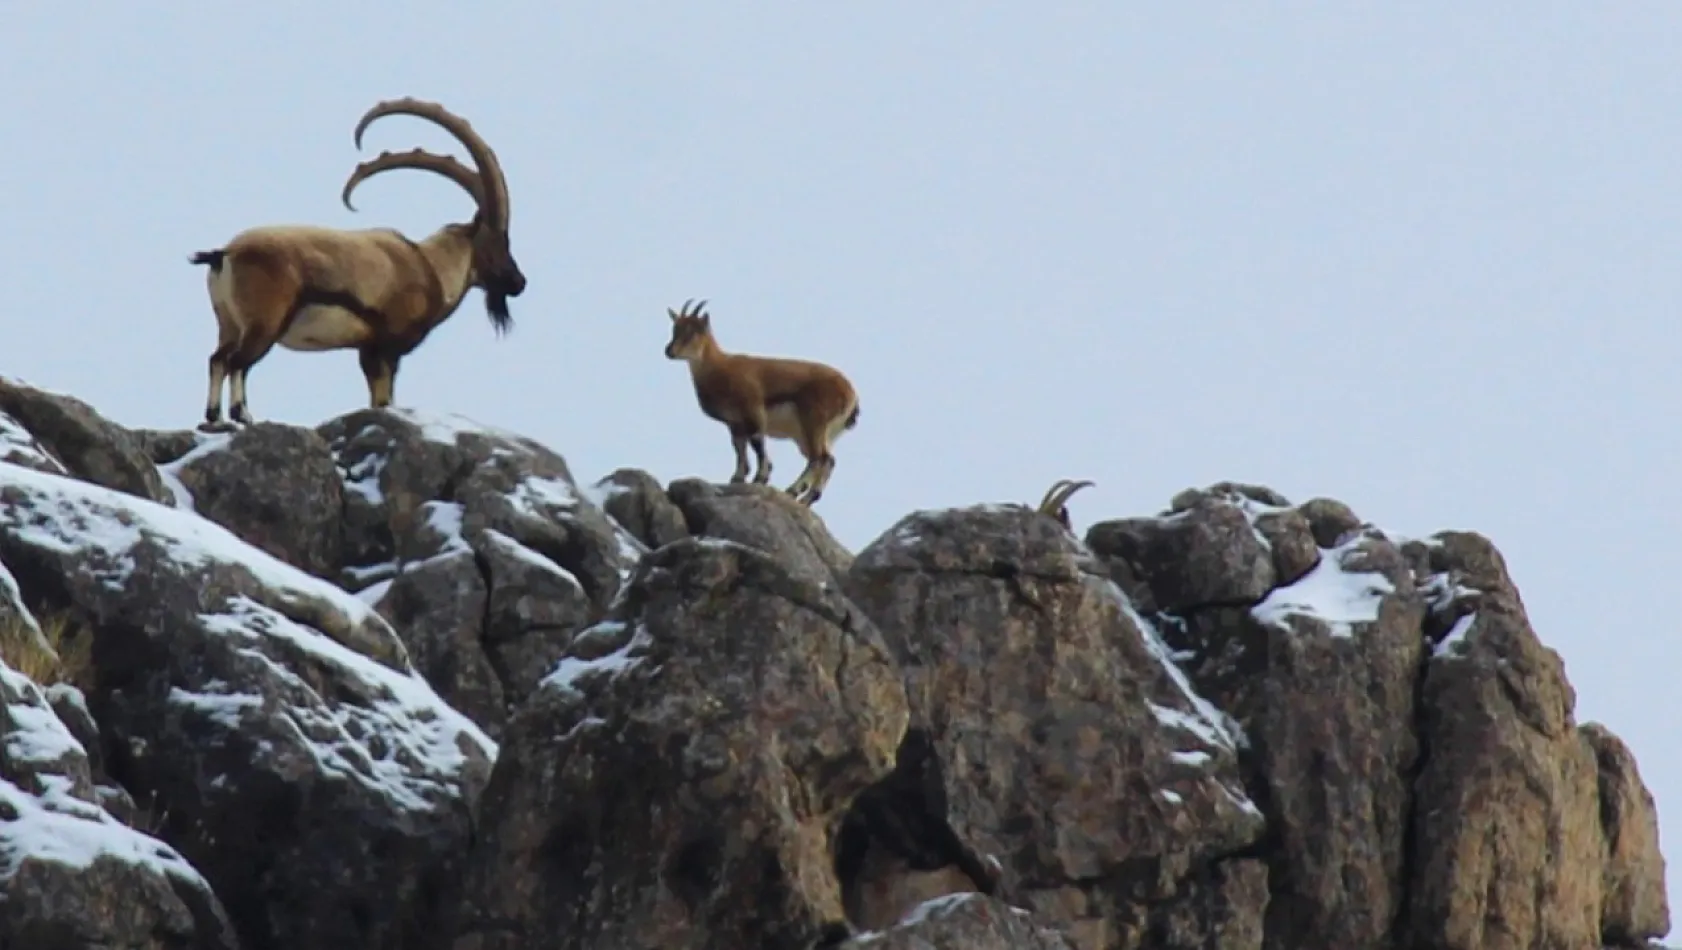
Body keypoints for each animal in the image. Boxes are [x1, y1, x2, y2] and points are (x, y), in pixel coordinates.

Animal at [185, 94, 528, 427]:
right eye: (501, 241)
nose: (518, 282)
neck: (431, 266)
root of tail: (224, 254)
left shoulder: (367, 348)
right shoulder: (386, 347)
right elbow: (383, 397)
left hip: (228, 323)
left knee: (217, 359)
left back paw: (213, 417)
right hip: (264, 322)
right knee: (238, 362)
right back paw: (242, 414)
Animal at [662, 297, 861, 507]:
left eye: (693, 331)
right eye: (675, 328)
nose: (669, 351)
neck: (718, 369)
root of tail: (851, 394)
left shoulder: (753, 410)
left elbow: (757, 443)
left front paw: (761, 477)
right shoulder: (735, 423)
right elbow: (739, 447)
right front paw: (737, 478)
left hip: (814, 421)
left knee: (822, 458)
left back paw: (797, 492)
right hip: (811, 435)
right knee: (823, 460)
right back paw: (803, 496)